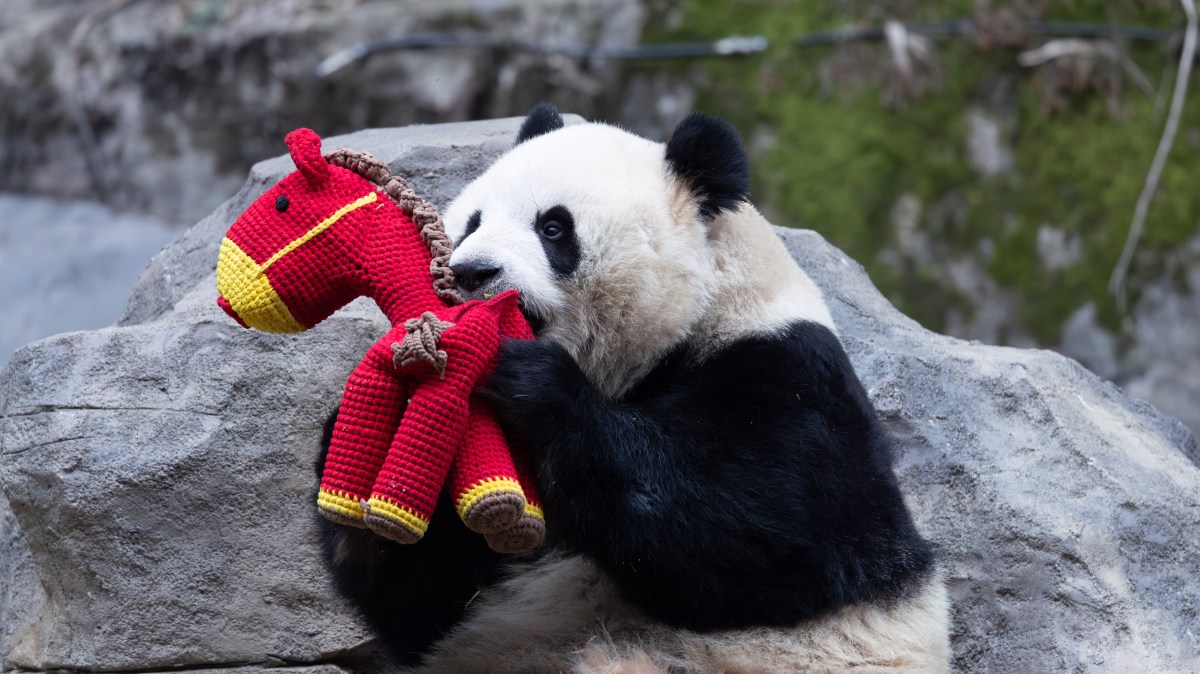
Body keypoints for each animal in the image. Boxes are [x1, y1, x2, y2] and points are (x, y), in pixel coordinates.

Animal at [318, 104, 950, 673]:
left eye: (553, 227)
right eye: (472, 222)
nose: (472, 272)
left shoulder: (791, 379)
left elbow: (758, 534)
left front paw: (532, 382)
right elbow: (423, 607)